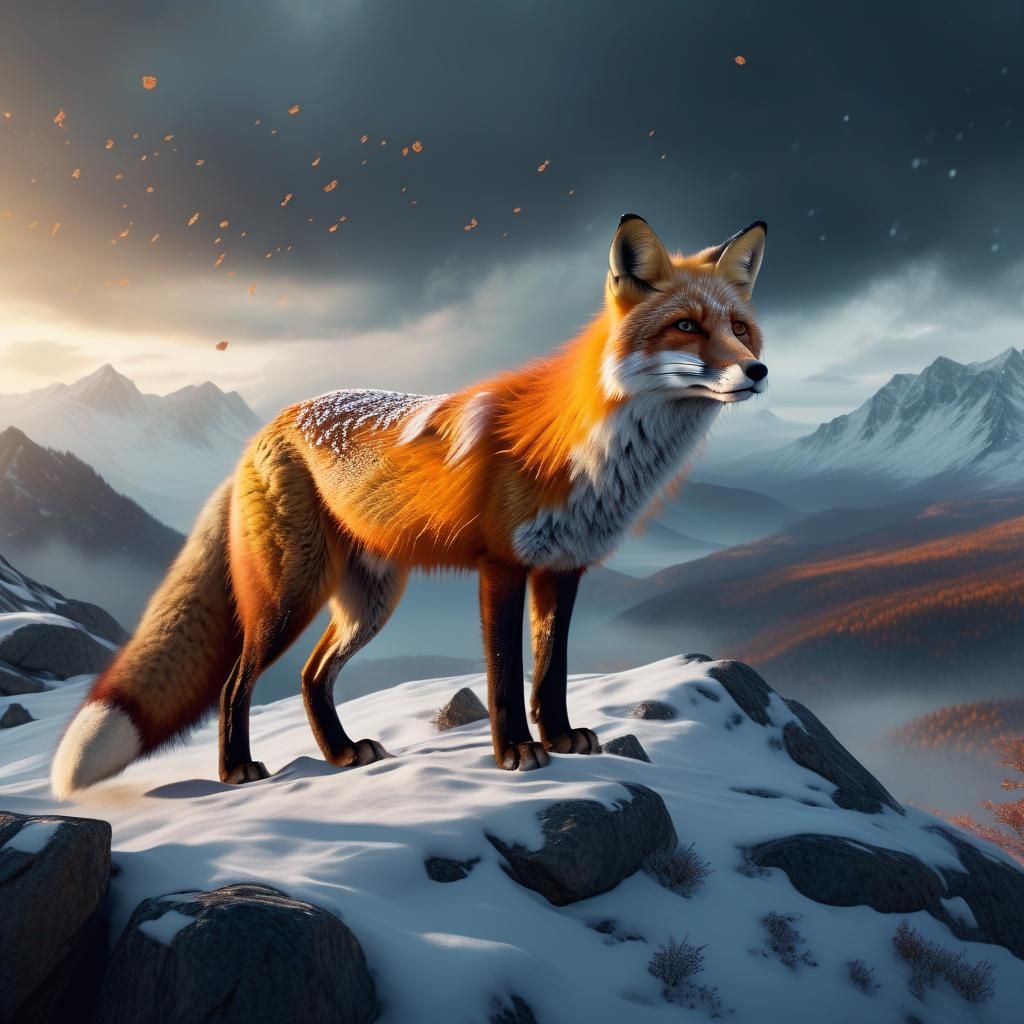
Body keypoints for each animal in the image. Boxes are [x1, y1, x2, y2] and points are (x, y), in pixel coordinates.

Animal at [51, 214, 767, 797]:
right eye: (685, 327)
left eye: (739, 329)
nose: (758, 371)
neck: (589, 452)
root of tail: (263, 430)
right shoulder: (501, 566)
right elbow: (506, 676)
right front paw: (516, 754)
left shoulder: (564, 567)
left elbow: (551, 670)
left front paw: (562, 739)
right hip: (291, 594)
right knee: (235, 683)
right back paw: (237, 771)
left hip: (369, 601)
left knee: (312, 677)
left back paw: (342, 754)